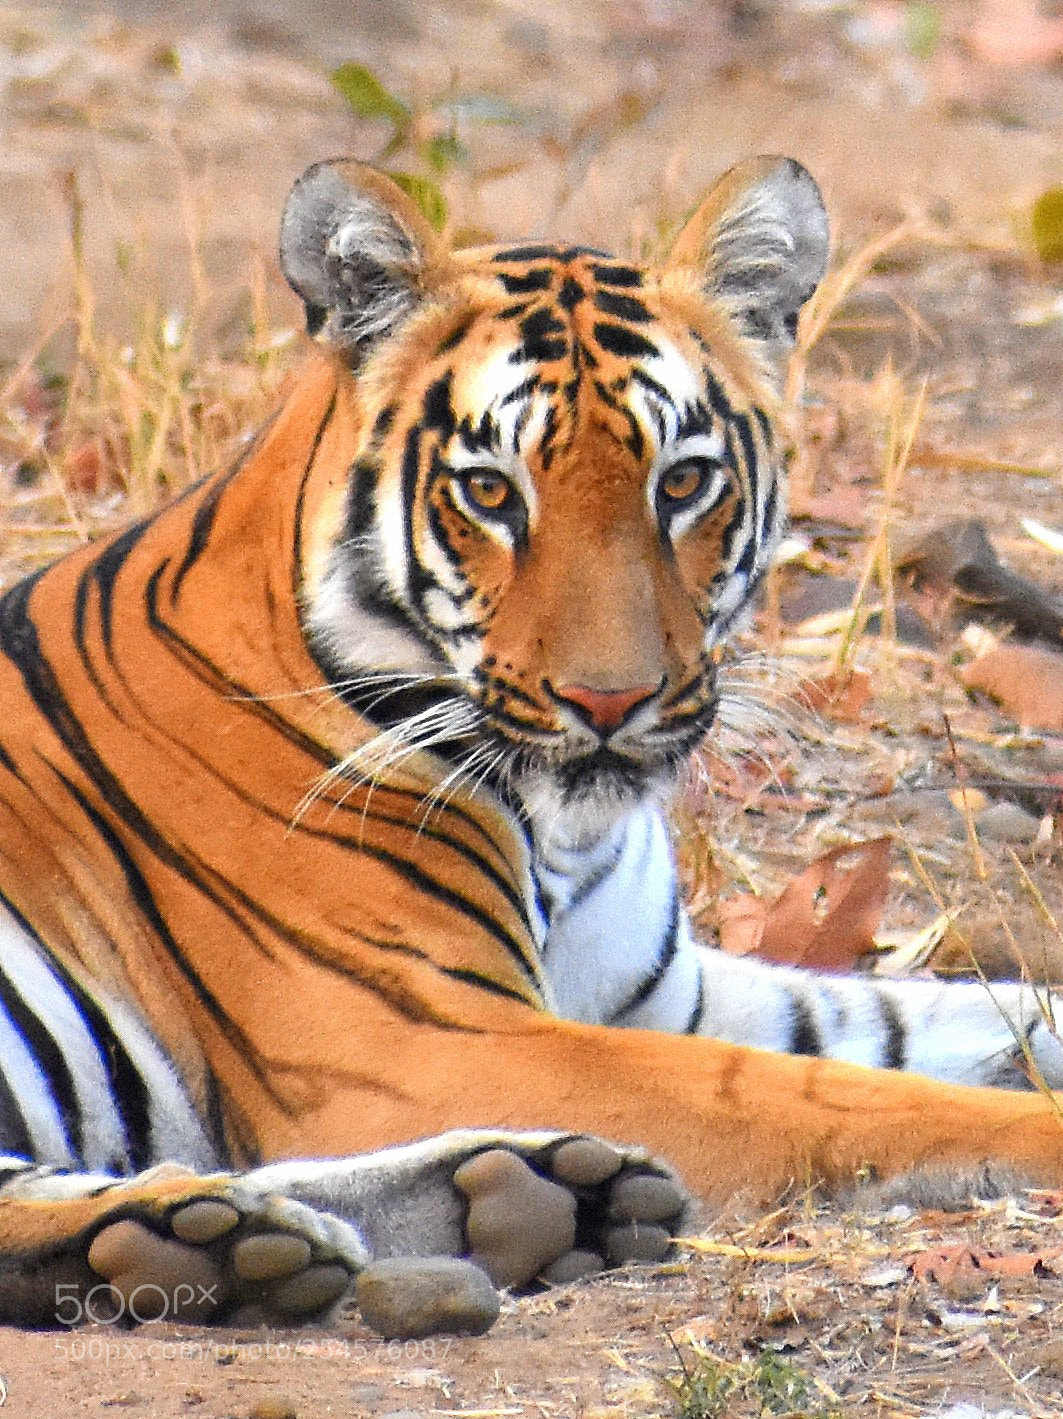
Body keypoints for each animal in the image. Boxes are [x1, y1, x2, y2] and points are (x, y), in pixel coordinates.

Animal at [0, 154, 1061, 1331]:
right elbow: (830, 1092)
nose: (610, 700)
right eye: (488, 492)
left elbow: (929, 1018)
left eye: (680, 481)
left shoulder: (660, 992)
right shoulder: (417, 1037)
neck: (568, 834)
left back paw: (518, 1199)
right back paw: (196, 1243)